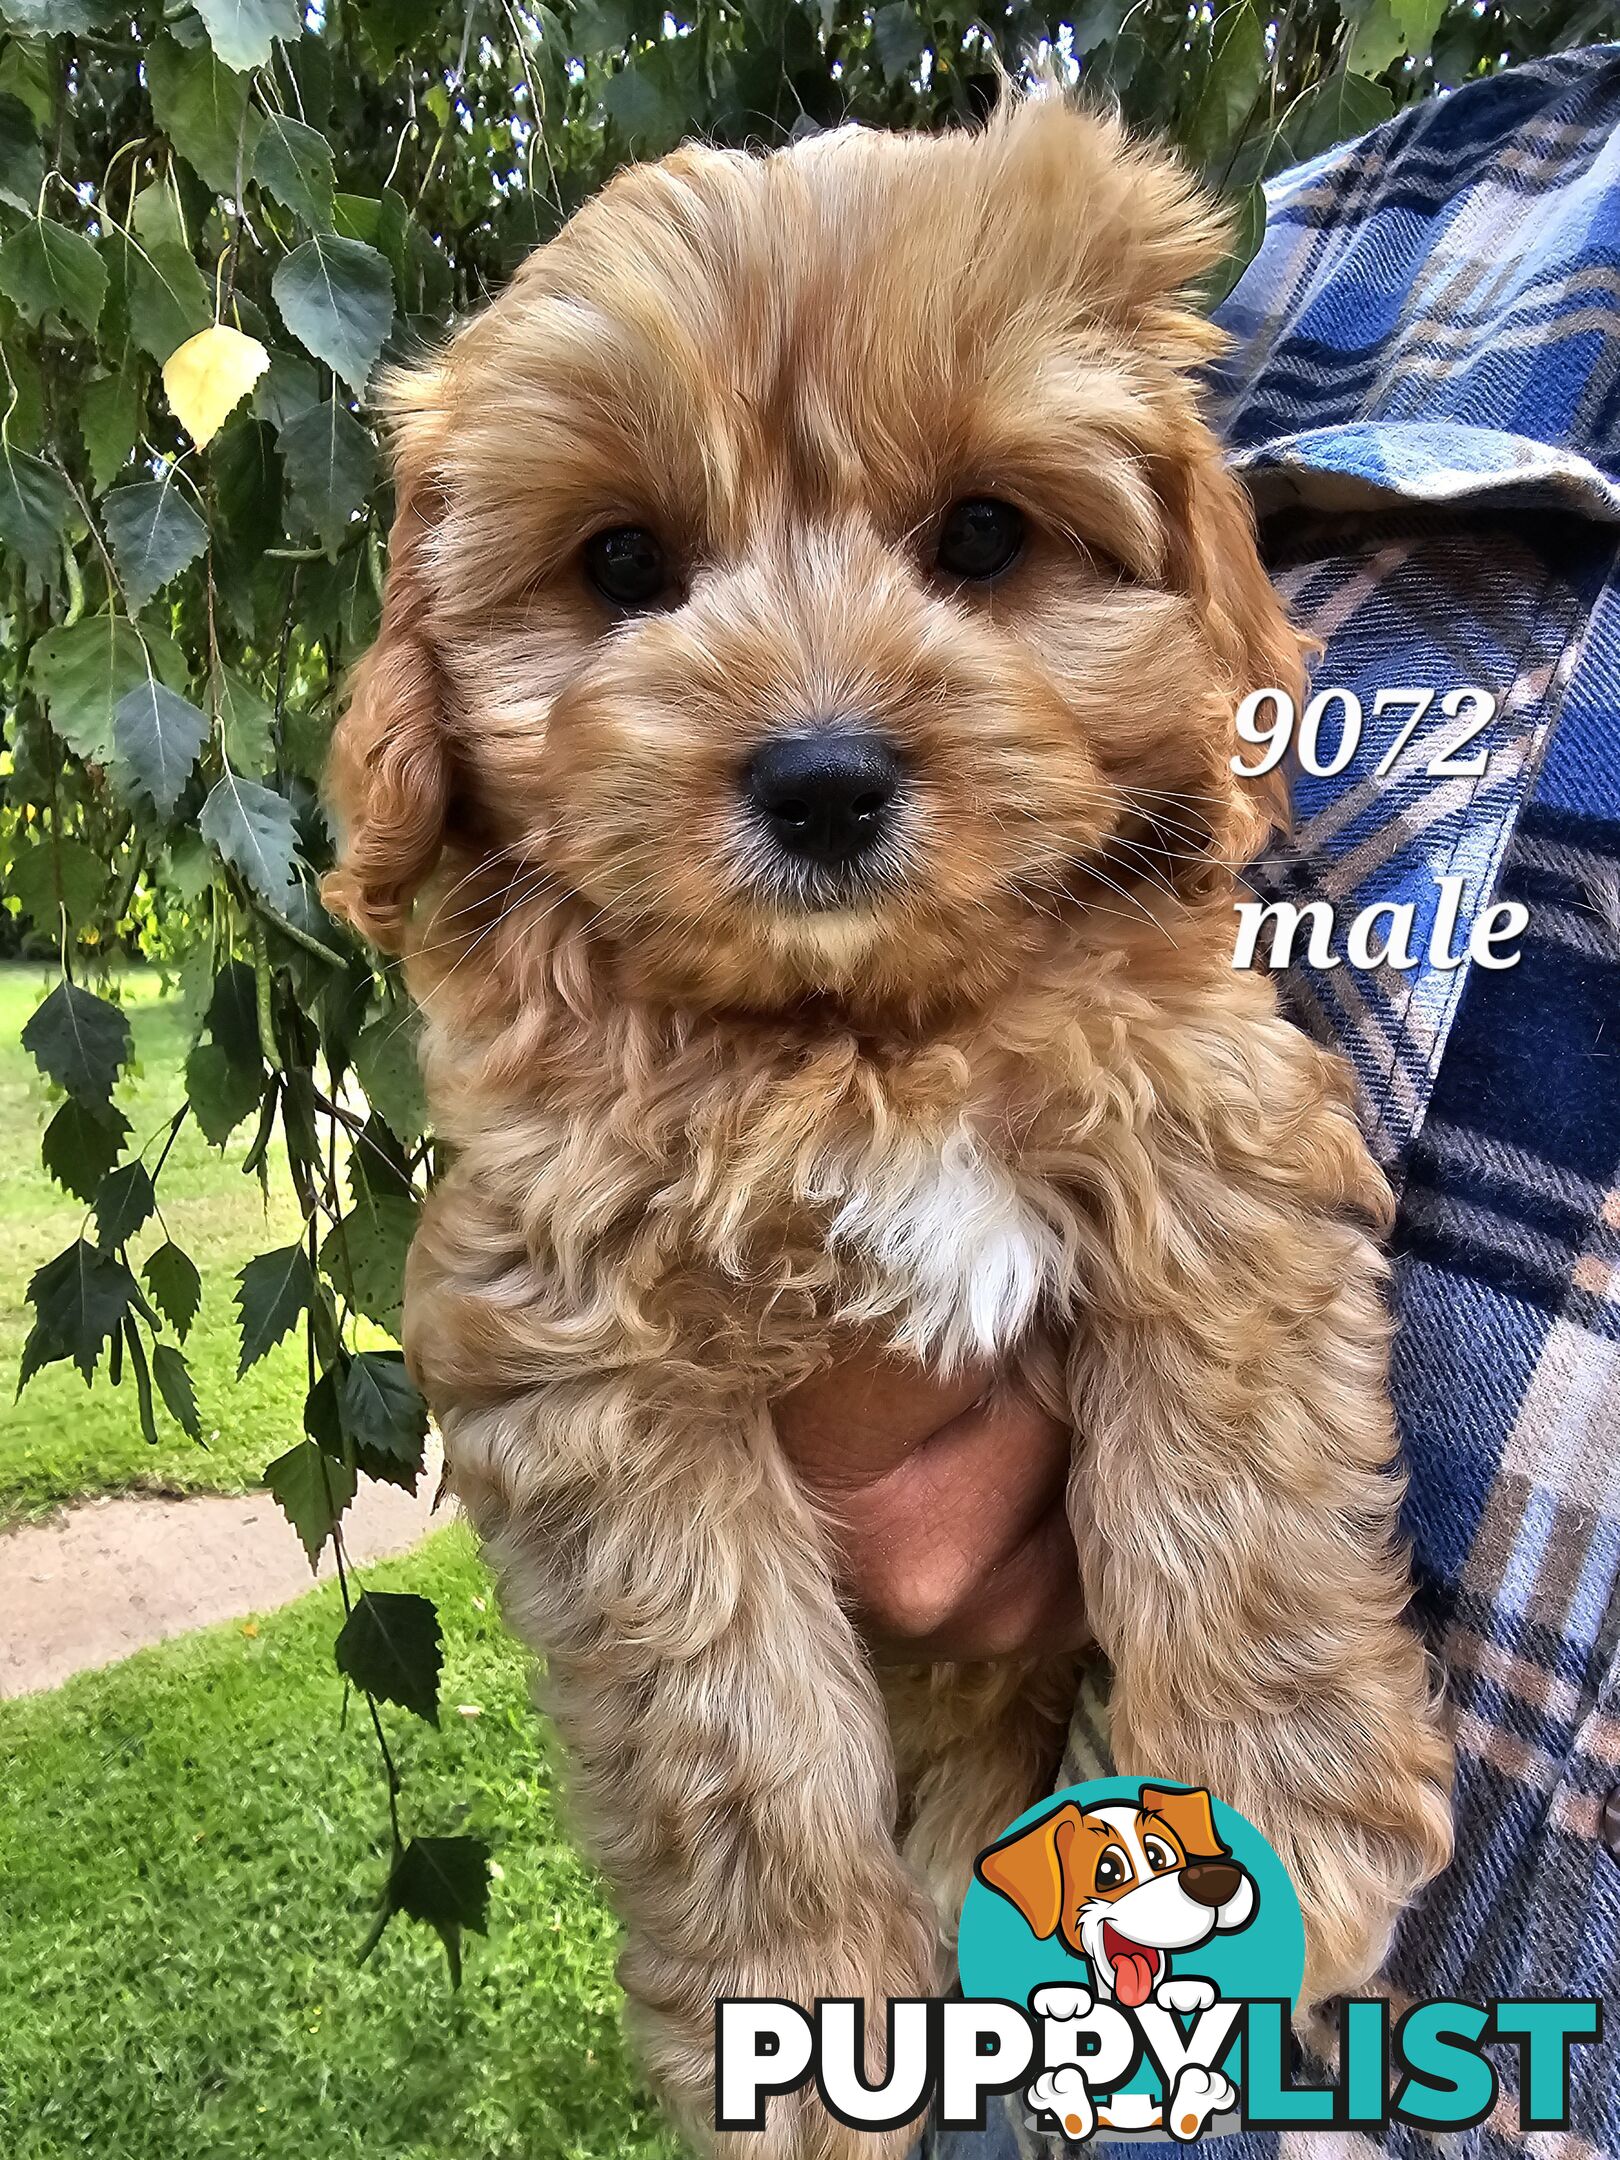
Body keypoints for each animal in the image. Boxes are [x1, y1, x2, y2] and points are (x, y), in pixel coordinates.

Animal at [330, 88, 1460, 2160]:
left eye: (987, 535)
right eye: (624, 563)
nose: (824, 776)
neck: (863, 1037)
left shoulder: (1215, 1149)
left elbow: (1238, 1496)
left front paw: (1283, 1802)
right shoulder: (587, 1356)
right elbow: (729, 1719)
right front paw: (792, 2009)